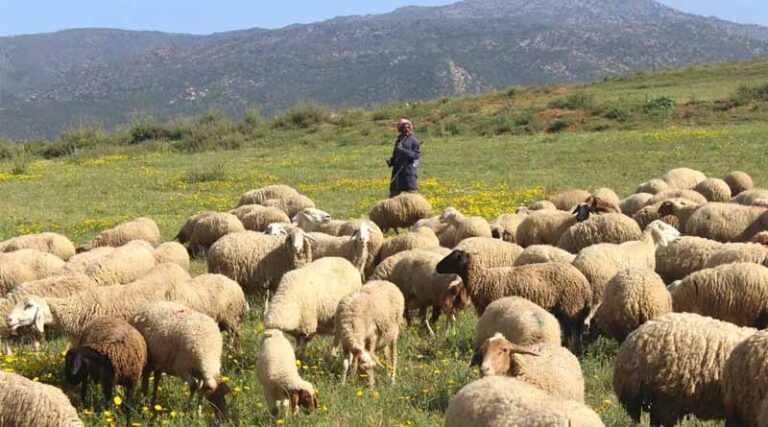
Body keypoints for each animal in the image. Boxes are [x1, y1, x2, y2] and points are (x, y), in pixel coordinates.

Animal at [436, 250, 593, 353]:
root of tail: (583, 280)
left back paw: (575, 348)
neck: (482, 280)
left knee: (575, 330)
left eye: (454, 258)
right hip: (563, 309)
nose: (437, 267)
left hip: (571, 306)